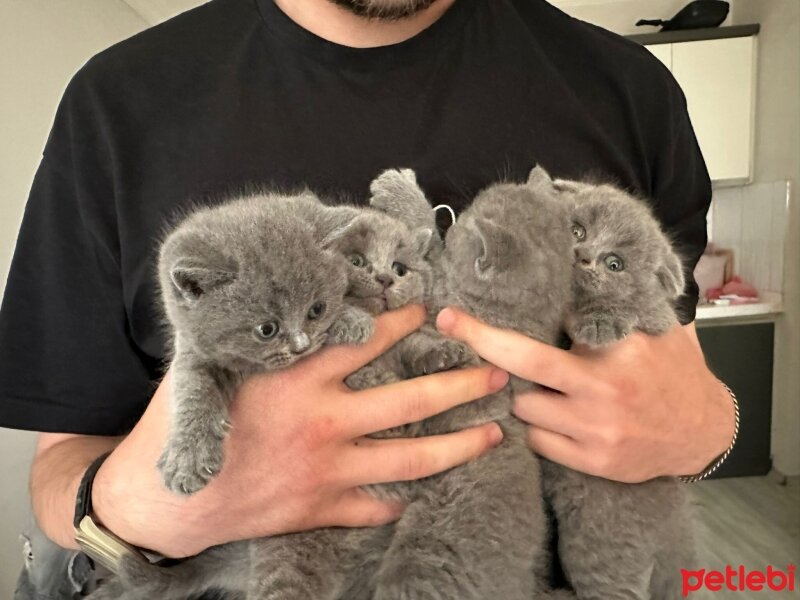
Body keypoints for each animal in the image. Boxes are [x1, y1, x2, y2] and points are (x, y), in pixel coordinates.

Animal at [158, 193, 374, 496]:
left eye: (317, 309)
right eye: (266, 330)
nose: (301, 346)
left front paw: (351, 319)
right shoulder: (194, 348)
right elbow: (192, 388)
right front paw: (188, 457)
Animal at [540, 171, 696, 596]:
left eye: (615, 263)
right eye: (578, 229)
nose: (581, 254)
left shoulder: (659, 322)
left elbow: (638, 309)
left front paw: (600, 319)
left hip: (601, 546)